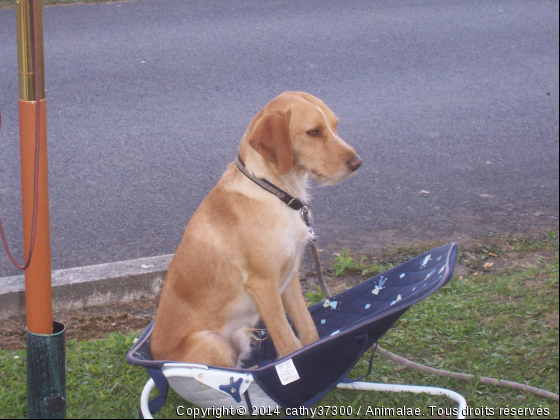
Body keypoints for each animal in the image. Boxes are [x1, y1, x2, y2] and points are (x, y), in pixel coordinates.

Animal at [151, 91, 360, 368]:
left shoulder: (289, 277)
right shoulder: (264, 286)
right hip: (212, 341)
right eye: (314, 132)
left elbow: (308, 333)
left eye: (335, 126)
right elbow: (289, 345)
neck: (276, 191)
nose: (357, 163)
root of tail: (154, 356)